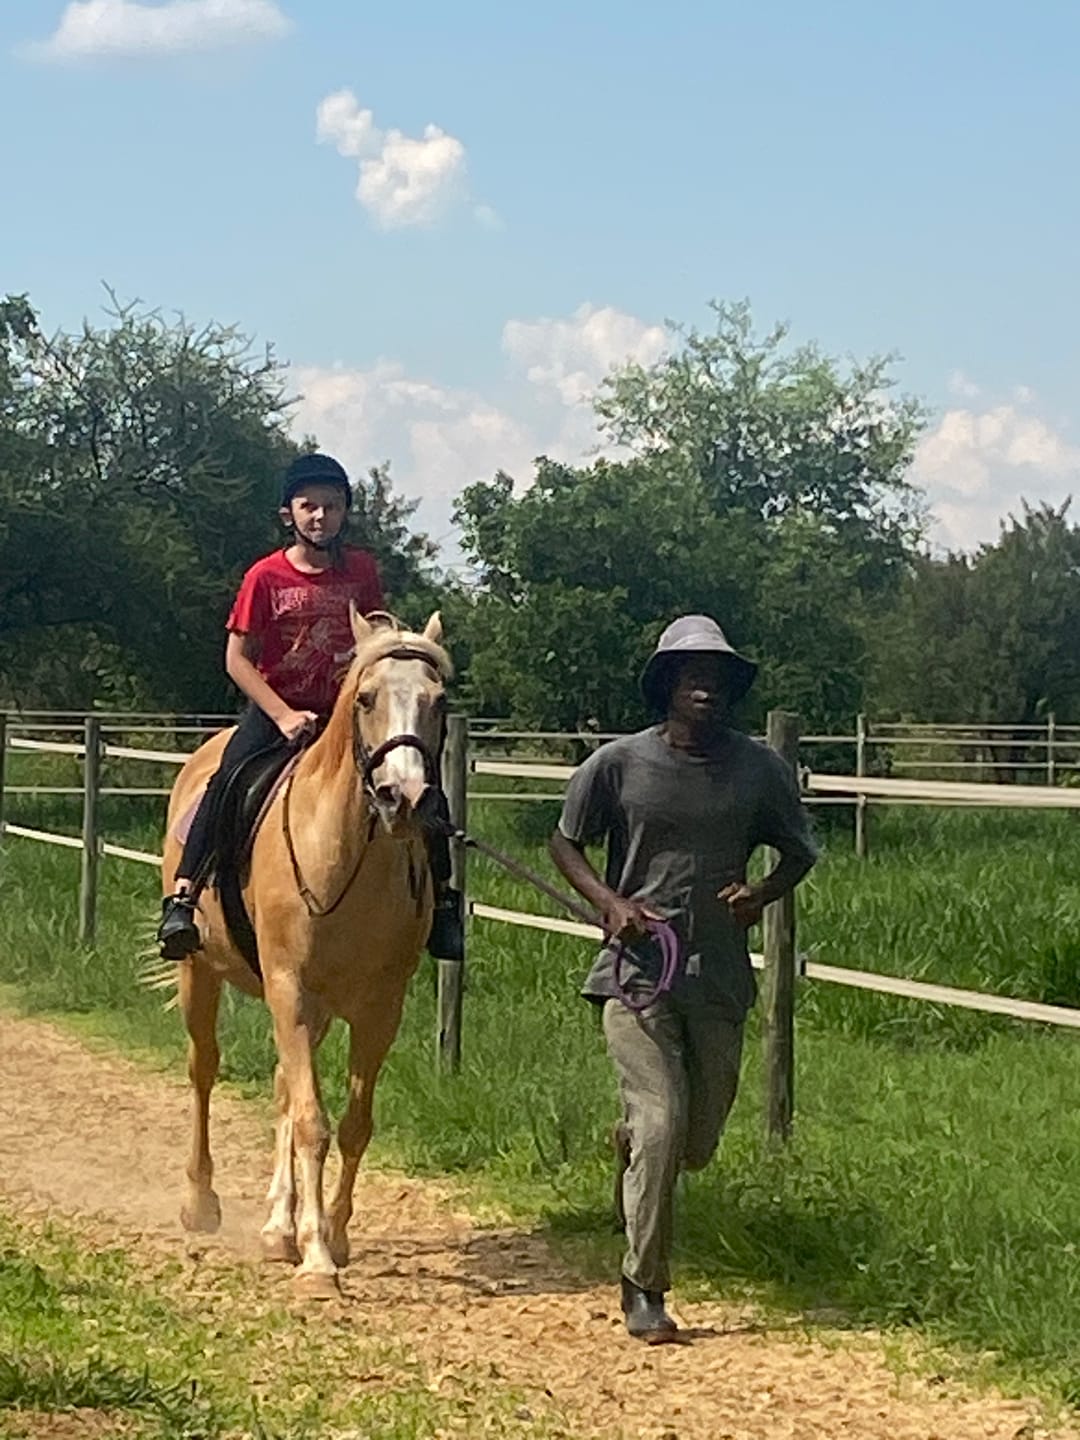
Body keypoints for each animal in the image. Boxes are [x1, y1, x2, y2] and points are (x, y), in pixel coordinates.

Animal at [159, 607, 451, 1297]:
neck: (345, 854)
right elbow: (313, 1123)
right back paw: (202, 1204)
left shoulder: (379, 1010)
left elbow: (350, 1124)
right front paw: (318, 1260)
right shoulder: (289, 990)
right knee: (204, 1070)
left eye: (439, 702)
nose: (405, 798)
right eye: (366, 698)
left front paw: (334, 1236)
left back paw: (276, 1227)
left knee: (282, 1091)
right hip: (200, 974)